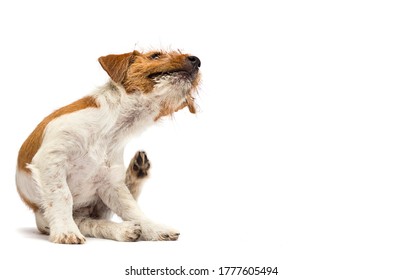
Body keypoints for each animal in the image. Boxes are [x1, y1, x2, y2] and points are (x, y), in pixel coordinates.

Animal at [15, 48, 202, 243]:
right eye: (155, 55)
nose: (197, 60)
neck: (112, 128)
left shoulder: (110, 182)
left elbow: (132, 209)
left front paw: (155, 229)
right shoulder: (51, 158)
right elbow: (62, 195)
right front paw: (66, 232)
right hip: (49, 219)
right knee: (88, 223)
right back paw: (125, 230)